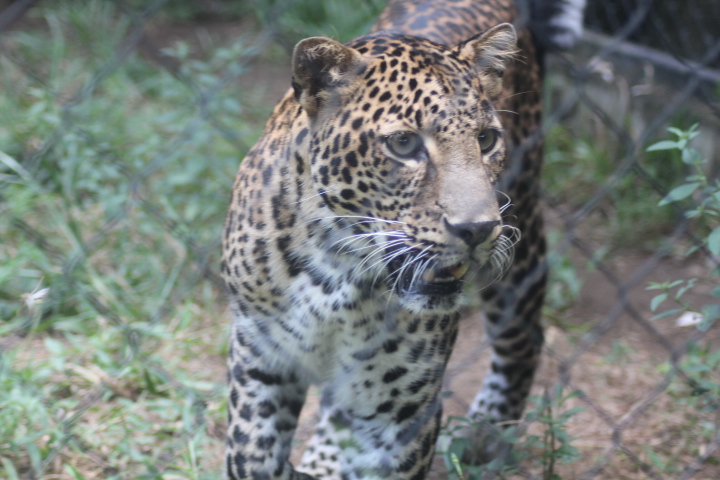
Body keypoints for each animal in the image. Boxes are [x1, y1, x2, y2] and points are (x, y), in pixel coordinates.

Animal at [220, 0, 585, 478]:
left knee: (523, 338)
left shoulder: (403, 409)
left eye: (486, 139)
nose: (477, 229)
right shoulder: (261, 360)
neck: (335, 266)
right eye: (404, 144)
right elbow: (253, 455)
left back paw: (485, 434)